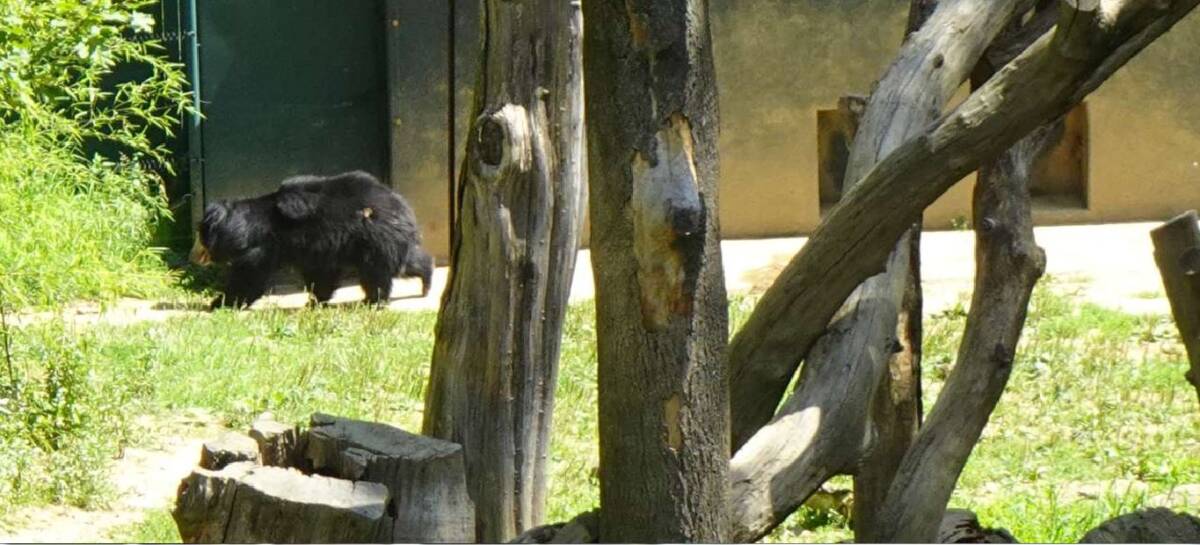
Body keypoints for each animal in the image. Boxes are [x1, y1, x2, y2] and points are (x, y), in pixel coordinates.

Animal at [189, 170, 434, 309]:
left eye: (200, 237)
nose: (192, 257)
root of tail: (402, 207)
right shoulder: (314, 249)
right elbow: (321, 275)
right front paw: (315, 301)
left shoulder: (263, 249)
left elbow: (248, 278)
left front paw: (219, 303)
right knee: (407, 261)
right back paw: (426, 282)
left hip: (374, 238)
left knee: (376, 273)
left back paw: (374, 301)